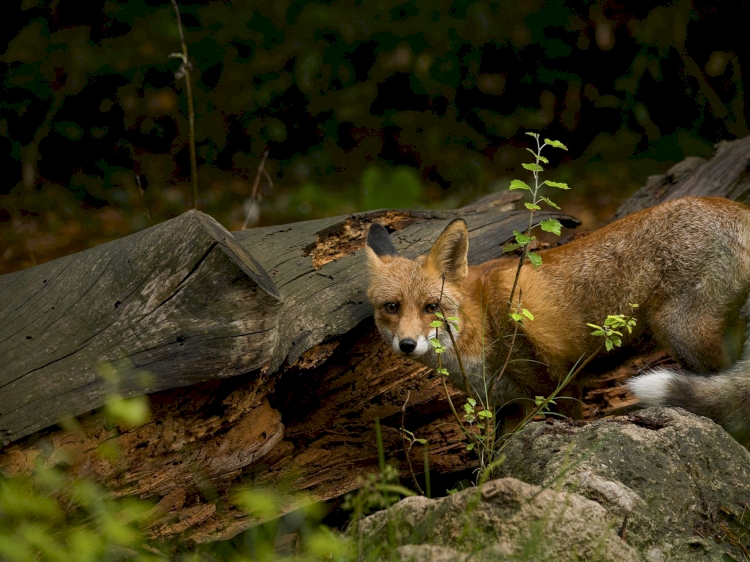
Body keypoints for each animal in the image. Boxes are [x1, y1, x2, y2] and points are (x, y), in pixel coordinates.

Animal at [368, 195, 750, 444]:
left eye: (431, 307)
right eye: (392, 307)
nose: (407, 344)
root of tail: (736, 207)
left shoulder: (558, 385)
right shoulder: (511, 407)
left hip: (685, 336)